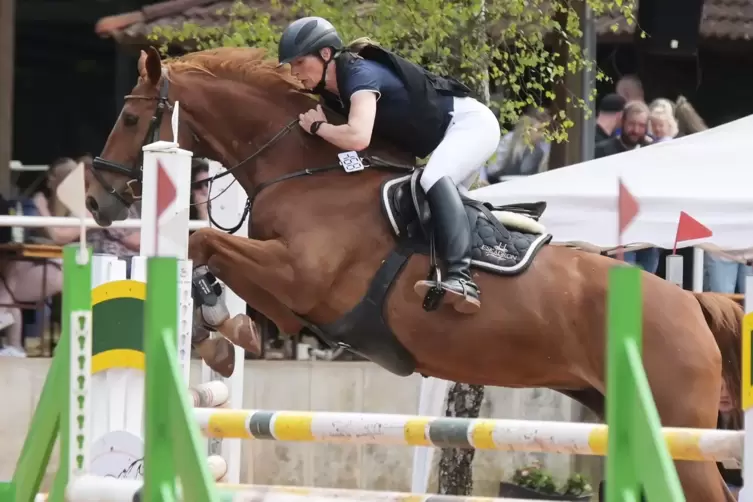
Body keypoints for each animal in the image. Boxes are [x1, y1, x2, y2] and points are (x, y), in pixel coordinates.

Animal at [88, 45, 740, 500]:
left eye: (130, 118)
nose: (96, 203)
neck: (309, 175)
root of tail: (691, 303)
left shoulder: (299, 276)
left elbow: (206, 244)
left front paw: (220, 329)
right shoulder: (290, 289)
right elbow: (221, 267)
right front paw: (223, 336)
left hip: (676, 431)